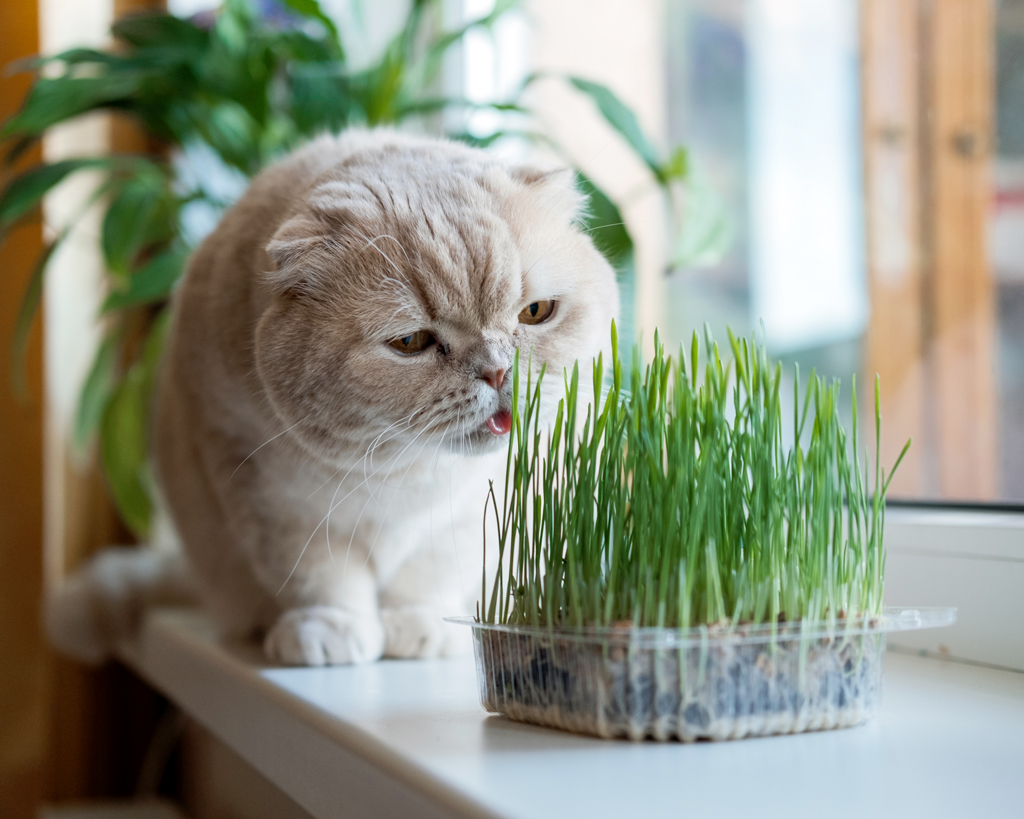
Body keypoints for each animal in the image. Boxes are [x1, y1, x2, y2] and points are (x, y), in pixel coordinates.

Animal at [48, 129, 614, 663]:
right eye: (411, 342)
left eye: (535, 312)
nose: (497, 372)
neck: (401, 473)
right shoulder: (265, 494)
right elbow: (318, 577)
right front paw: (331, 632)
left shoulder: (463, 514)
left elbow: (429, 576)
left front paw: (418, 627)